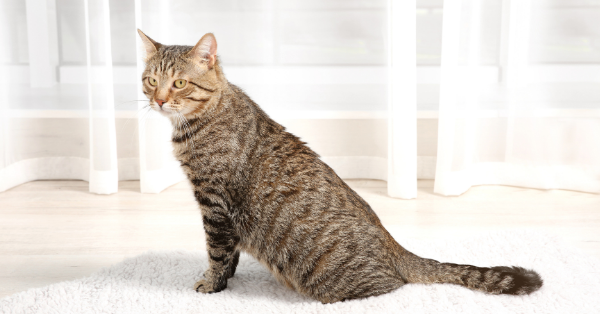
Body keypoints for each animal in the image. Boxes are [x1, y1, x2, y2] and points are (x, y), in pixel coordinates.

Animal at [137, 30, 544, 302]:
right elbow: (230, 253)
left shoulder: (216, 204)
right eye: (152, 80)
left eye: (180, 83)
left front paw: (212, 283)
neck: (198, 122)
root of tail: (395, 247)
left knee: (393, 288)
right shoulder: (219, 209)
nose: (159, 100)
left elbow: (218, 252)